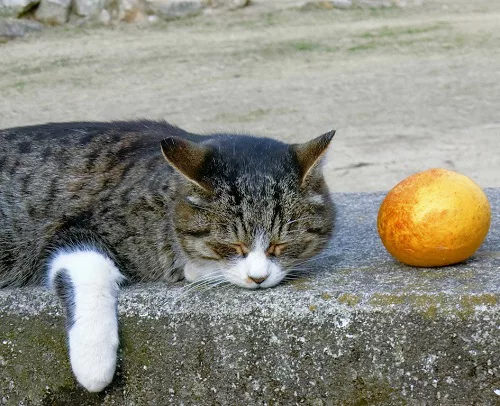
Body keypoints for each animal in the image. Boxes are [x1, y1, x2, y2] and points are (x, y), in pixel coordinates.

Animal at [0, 119, 336, 392]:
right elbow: (90, 268)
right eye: (232, 245)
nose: (258, 278)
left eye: (279, 245)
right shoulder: (72, 228)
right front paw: (93, 360)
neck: (165, 203)